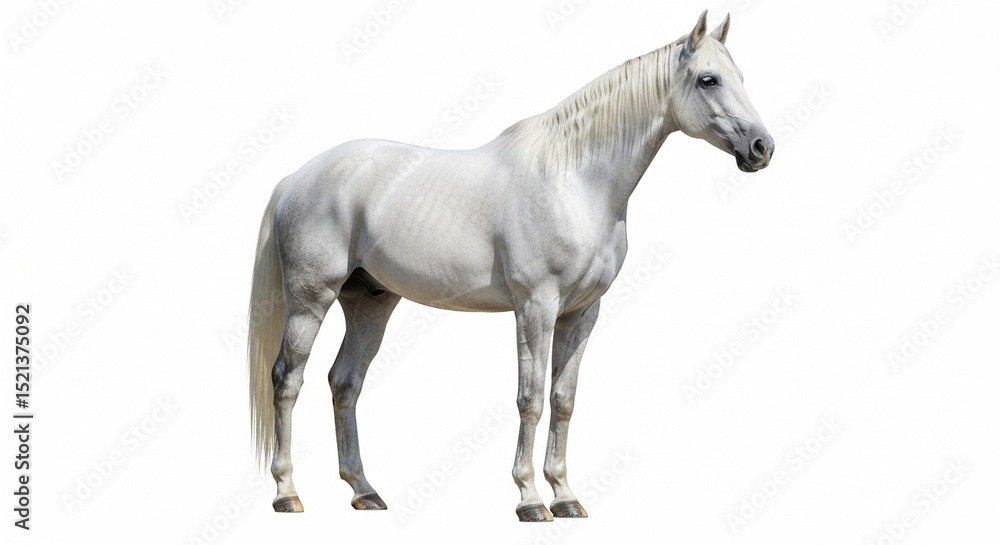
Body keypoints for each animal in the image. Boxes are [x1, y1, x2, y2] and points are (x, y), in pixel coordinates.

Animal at [247, 10, 774, 522]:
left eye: (741, 77)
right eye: (708, 79)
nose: (762, 148)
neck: (574, 182)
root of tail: (298, 176)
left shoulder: (582, 313)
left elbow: (563, 400)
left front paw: (565, 497)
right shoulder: (536, 306)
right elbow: (531, 398)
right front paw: (530, 500)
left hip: (370, 303)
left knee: (345, 382)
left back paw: (365, 491)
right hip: (311, 300)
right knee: (287, 380)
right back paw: (287, 493)